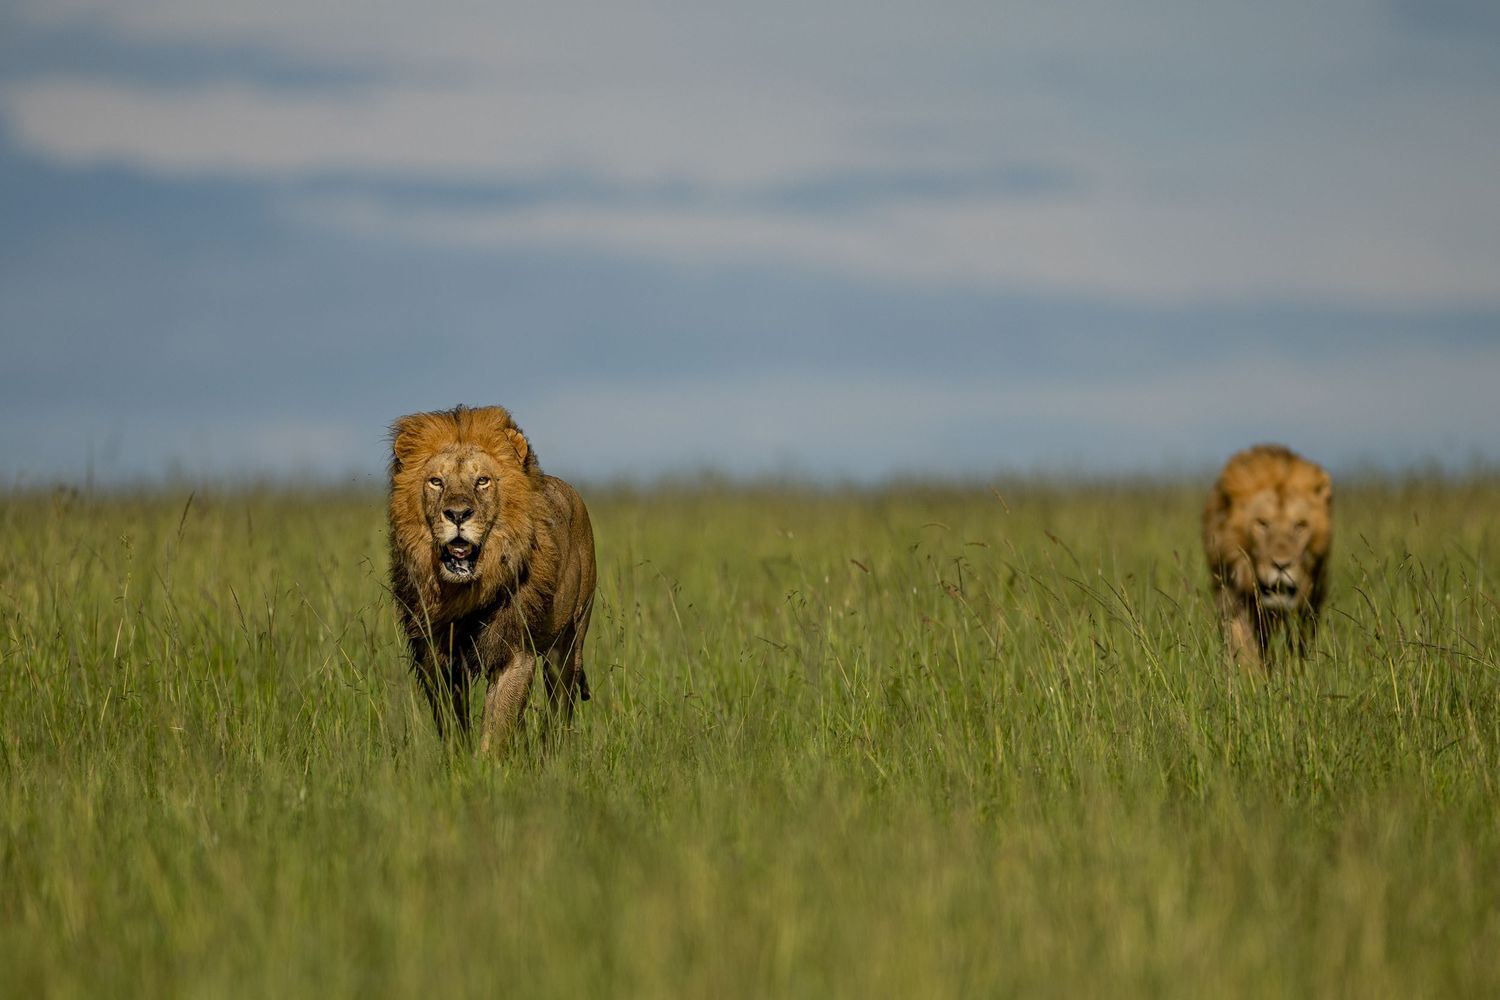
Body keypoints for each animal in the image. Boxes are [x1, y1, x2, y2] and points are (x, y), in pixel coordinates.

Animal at [387, 405, 596, 752]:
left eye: (482, 481)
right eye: (436, 482)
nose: (458, 514)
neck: (463, 593)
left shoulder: (515, 653)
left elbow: (496, 730)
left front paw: (487, 765)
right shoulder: (435, 658)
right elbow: (452, 726)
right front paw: (457, 763)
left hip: (568, 643)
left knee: (559, 706)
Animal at [1202, 444, 1332, 669]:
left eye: (1300, 525)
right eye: (1262, 523)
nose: (1281, 565)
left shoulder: (1308, 606)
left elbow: (1295, 647)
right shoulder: (1232, 597)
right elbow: (1243, 646)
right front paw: (1250, 674)